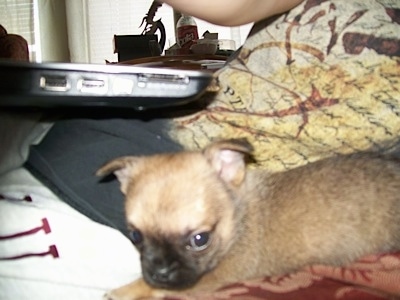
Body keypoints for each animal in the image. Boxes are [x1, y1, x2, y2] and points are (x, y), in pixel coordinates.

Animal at [96, 139, 400, 298]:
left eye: (200, 239)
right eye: (135, 236)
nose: (159, 272)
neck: (238, 218)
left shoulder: (213, 277)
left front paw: (126, 290)